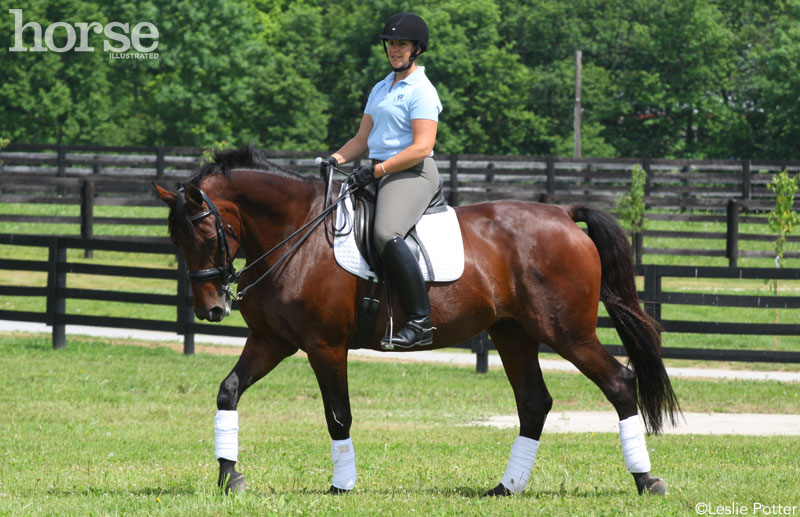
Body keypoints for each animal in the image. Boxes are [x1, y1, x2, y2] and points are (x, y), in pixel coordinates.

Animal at [153, 145, 680, 496]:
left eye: (205, 232)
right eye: (175, 238)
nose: (211, 309)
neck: (295, 234)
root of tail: (565, 215)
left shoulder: (325, 346)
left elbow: (337, 414)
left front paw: (342, 486)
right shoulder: (272, 340)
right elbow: (229, 391)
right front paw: (230, 477)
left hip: (567, 332)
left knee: (619, 383)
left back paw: (646, 480)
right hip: (513, 333)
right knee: (534, 403)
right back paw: (506, 488)